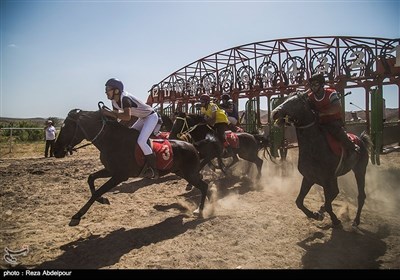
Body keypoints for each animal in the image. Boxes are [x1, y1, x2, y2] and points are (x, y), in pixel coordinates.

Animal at [54, 107, 209, 225]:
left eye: (66, 127)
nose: (56, 151)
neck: (111, 140)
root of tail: (192, 145)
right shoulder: (110, 170)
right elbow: (91, 178)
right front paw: (103, 200)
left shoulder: (120, 176)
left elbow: (98, 191)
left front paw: (77, 215)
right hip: (181, 172)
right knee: (203, 184)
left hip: (189, 173)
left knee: (204, 185)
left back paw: (201, 210)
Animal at [272, 92, 372, 228]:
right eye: (285, 99)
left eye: (295, 102)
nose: (275, 113)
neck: (315, 146)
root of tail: (361, 140)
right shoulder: (309, 178)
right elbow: (299, 202)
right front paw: (315, 214)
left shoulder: (326, 180)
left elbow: (329, 204)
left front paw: (335, 220)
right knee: (336, 193)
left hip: (360, 170)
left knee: (360, 195)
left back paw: (356, 221)